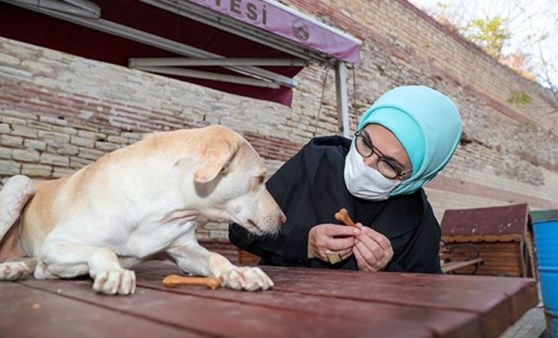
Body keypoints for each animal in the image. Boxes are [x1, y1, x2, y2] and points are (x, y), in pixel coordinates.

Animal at [0, 125, 286, 294]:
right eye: (261, 178)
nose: (284, 219)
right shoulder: (55, 245)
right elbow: (104, 250)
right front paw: (114, 272)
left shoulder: (184, 251)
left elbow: (216, 257)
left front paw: (238, 272)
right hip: (20, 183)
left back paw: (16, 269)